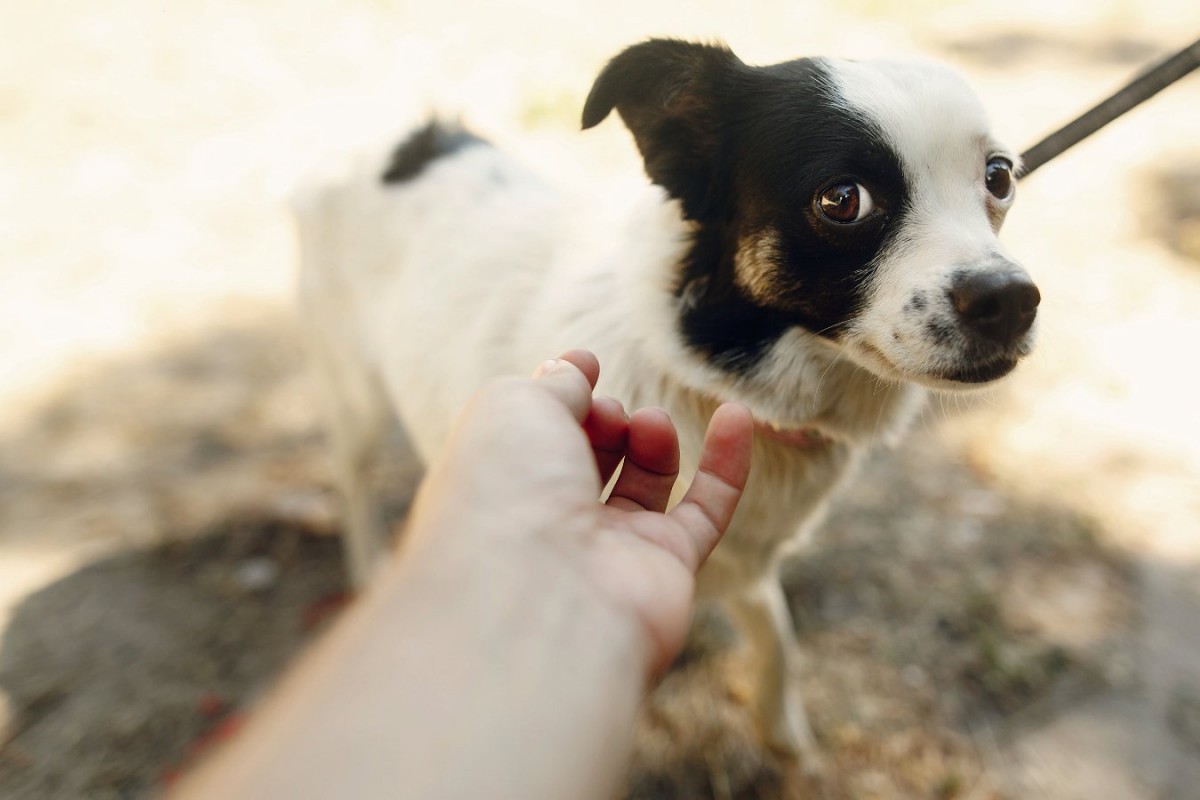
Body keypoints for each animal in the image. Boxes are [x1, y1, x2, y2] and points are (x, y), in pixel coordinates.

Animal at [292, 40, 1041, 767]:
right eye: (842, 199)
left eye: (999, 176)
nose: (1012, 301)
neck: (716, 380)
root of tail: (393, 138)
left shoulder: (741, 560)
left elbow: (777, 633)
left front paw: (782, 732)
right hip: (353, 394)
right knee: (352, 478)